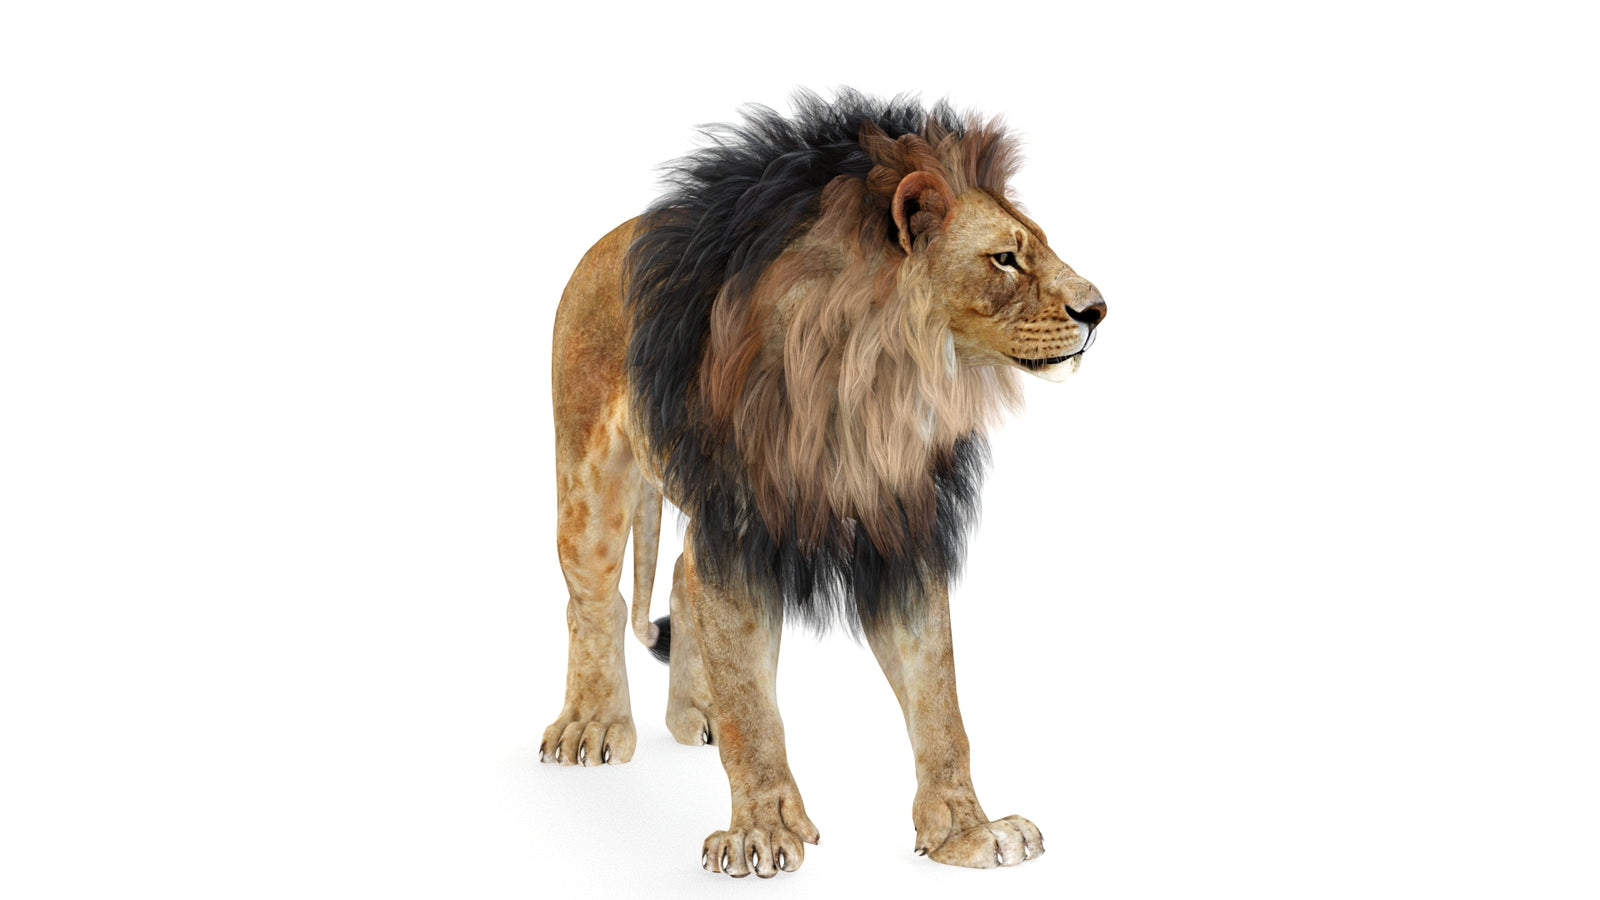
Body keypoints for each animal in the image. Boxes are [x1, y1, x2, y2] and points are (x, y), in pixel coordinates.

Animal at [540, 90, 1105, 877]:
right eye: (1005, 258)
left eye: (1040, 247)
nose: (1099, 310)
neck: (874, 380)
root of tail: (609, 238)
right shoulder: (740, 526)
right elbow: (752, 705)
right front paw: (760, 830)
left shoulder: (900, 531)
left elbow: (939, 698)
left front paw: (967, 830)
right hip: (589, 478)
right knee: (594, 598)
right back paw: (591, 725)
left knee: (681, 572)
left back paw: (696, 713)